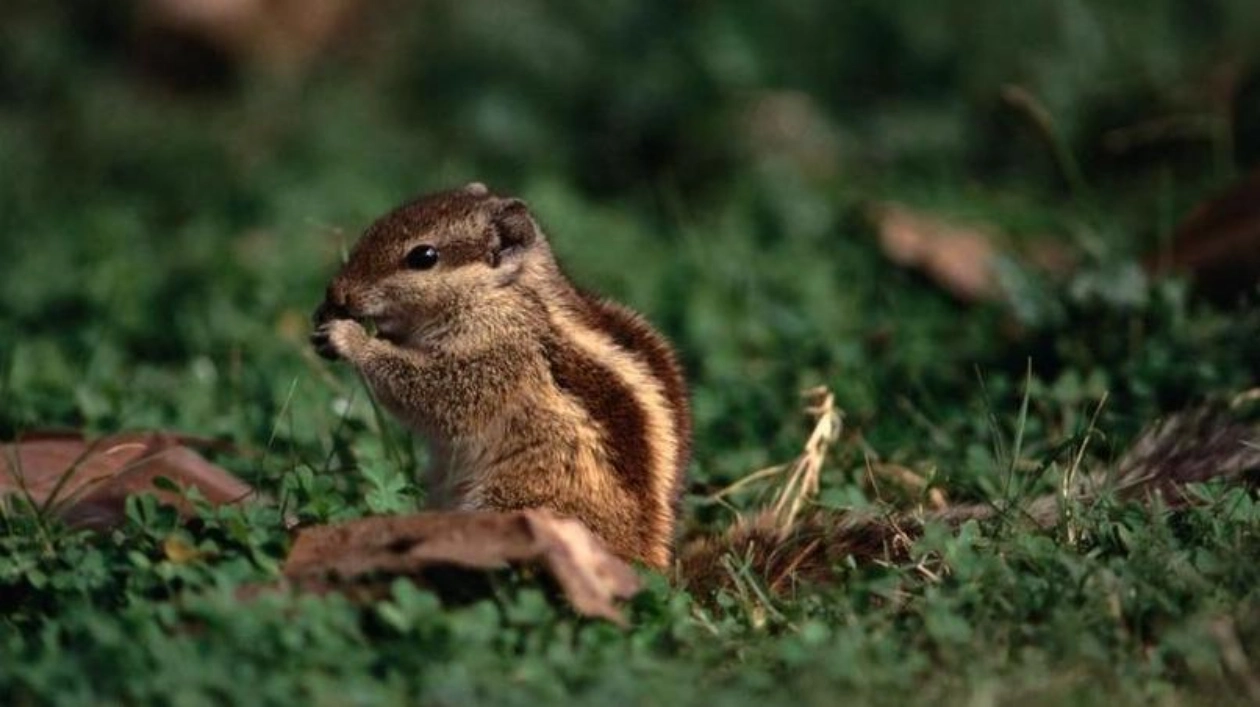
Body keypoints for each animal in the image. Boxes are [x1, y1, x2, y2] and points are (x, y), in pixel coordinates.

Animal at [311, 180, 695, 567]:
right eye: (373, 228)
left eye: (424, 257)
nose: (336, 293)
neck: (506, 293)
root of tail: (651, 549)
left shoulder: (499, 358)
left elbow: (435, 394)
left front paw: (351, 338)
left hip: (521, 495)